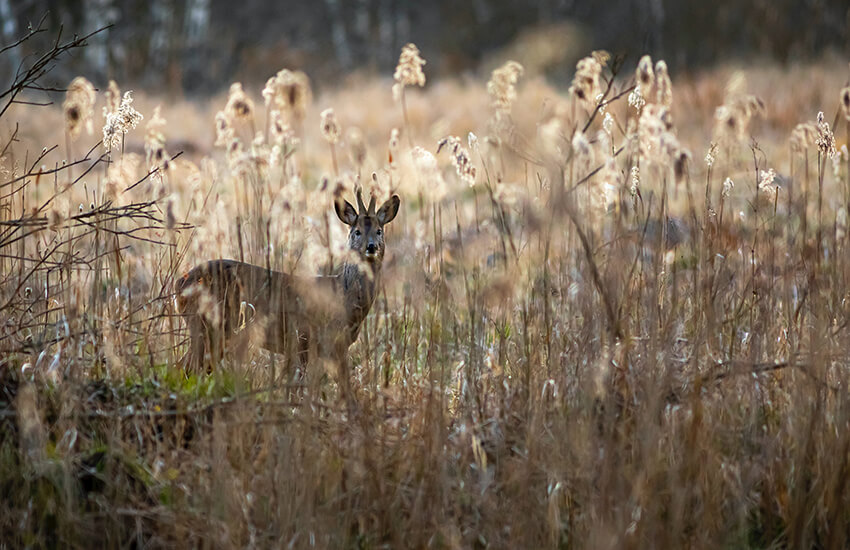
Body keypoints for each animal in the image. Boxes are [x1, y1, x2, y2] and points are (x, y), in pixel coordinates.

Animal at [176, 192, 400, 394]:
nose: (371, 247)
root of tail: (180, 284)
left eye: (379, 231)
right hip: (206, 326)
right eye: (357, 231)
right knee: (185, 368)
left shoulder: (332, 346)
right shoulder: (305, 338)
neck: (344, 298)